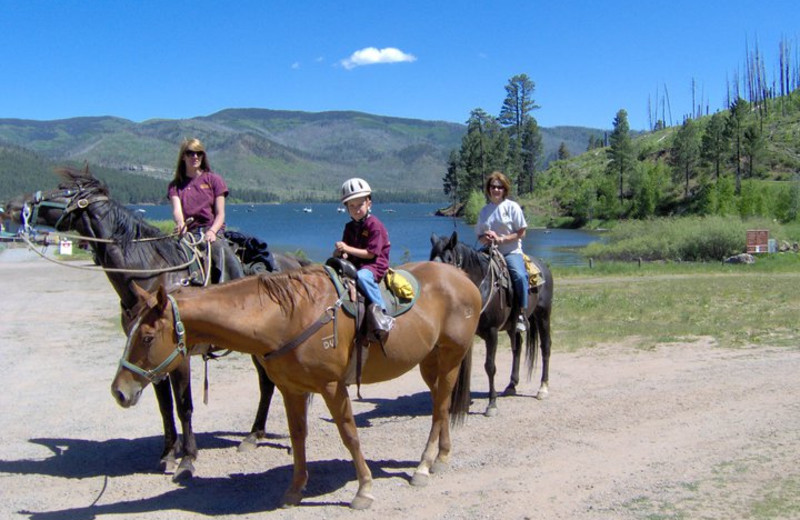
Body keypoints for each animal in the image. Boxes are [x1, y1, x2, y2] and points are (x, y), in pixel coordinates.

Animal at [2, 167, 306, 480]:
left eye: (62, 190)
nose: (11, 206)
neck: (152, 274)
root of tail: (294, 262)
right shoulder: (150, 355)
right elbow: (164, 407)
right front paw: (168, 454)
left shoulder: (179, 355)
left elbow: (184, 406)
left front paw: (188, 459)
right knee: (267, 384)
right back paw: (254, 435)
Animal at [112, 262, 482, 510]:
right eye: (129, 330)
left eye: (147, 337)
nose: (119, 391)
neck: (288, 316)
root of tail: (462, 277)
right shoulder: (292, 389)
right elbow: (298, 437)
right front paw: (295, 490)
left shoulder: (333, 387)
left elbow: (349, 434)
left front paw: (363, 489)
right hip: (429, 362)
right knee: (439, 405)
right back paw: (441, 457)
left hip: (450, 358)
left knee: (440, 407)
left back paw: (423, 466)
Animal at [428, 232, 552, 414]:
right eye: (430, 259)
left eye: (449, 259)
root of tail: (543, 266)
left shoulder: (492, 332)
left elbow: (490, 366)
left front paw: (492, 404)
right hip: (512, 325)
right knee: (518, 347)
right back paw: (511, 385)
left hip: (543, 315)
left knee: (546, 347)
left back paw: (542, 388)